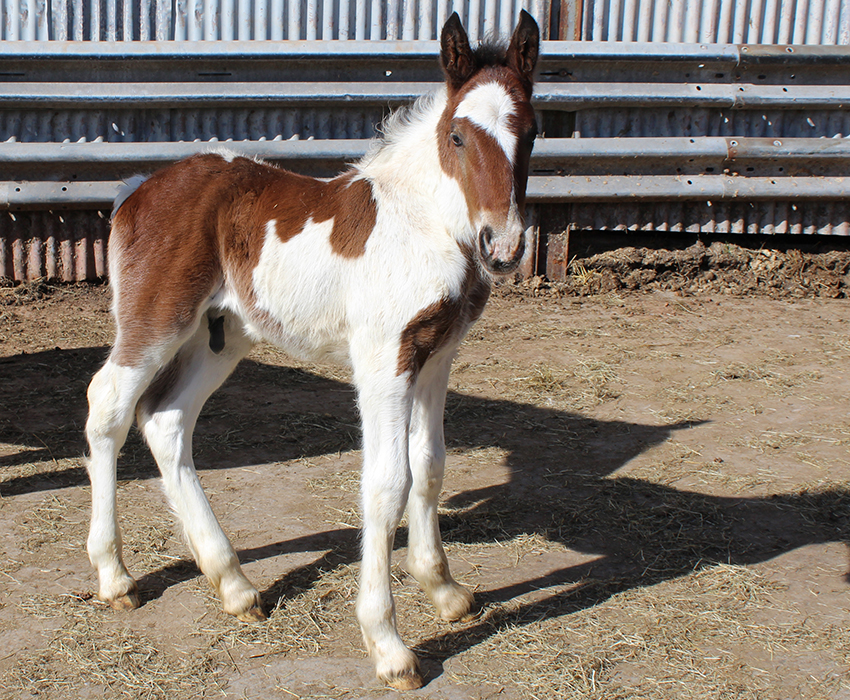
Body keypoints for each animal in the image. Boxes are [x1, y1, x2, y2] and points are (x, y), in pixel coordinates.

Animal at [84, 10, 536, 688]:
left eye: (531, 133)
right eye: (457, 136)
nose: (502, 246)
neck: (421, 222)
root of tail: (139, 187)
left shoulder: (436, 357)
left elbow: (430, 465)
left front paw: (444, 589)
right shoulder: (383, 360)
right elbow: (386, 483)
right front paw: (389, 645)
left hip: (223, 335)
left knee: (165, 420)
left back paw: (235, 585)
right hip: (156, 321)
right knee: (108, 406)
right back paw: (115, 576)